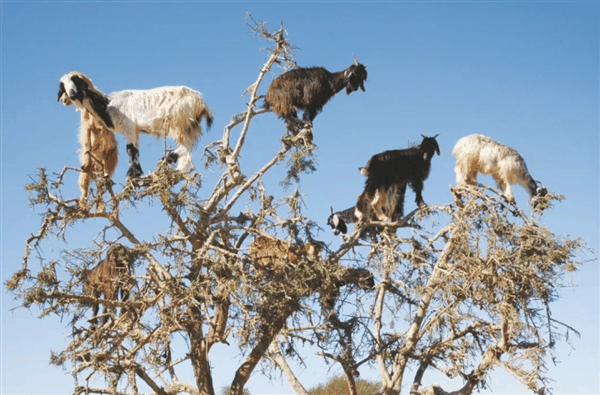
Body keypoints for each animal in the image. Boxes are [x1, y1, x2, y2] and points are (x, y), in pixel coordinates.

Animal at [58, 72, 213, 179]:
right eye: (63, 86)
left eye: (76, 81)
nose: (72, 94)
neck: (107, 104)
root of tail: (201, 102)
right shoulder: (135, 130)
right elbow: (134, 149)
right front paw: (136, 173)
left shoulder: (130, 127)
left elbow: (131, 150)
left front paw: (132, 174)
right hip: (190, 126)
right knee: (189, 147)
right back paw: (177, 168)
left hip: (179, 122)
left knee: (186, 145)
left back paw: (167, 160)